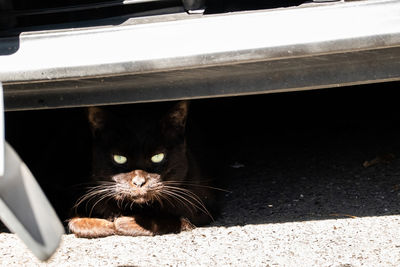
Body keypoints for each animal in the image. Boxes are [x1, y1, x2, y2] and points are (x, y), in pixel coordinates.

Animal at [69, 101, 219, 239]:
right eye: (119, 158)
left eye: (157, 157)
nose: (139, 182)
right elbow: (77, 221)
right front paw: (104, 223)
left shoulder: (202, 205)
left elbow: (170, 218)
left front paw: (124, 223)